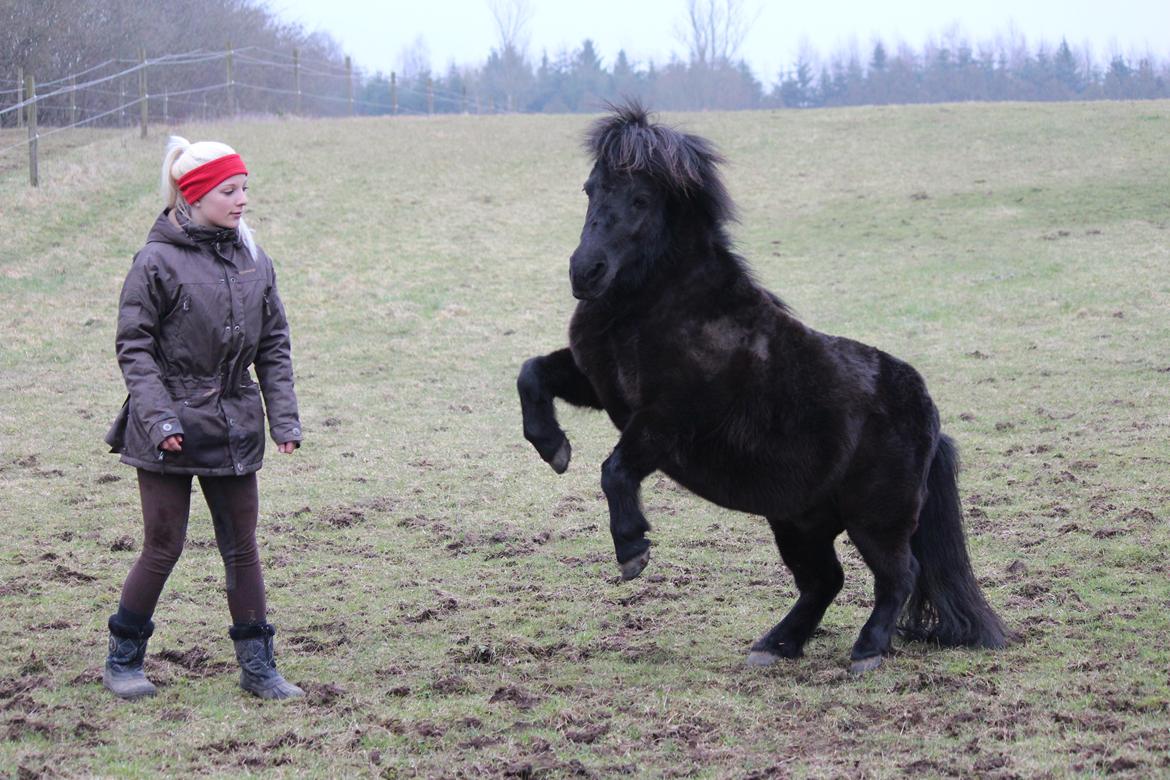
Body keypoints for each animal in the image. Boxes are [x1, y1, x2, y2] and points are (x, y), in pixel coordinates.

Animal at [517, 103, 1010, 673]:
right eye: (591, 188)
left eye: (640, 199)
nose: (585, 273)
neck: (660, 306)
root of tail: (931, 418)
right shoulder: (600, 384)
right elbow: (532, 374)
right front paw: (553, 448)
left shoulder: (666, 418)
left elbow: (615, 469)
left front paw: (632, 550)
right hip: (799, 522)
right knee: (824, 581)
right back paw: (774, 646)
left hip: (876, 518)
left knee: (896, 575)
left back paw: (866, 652)